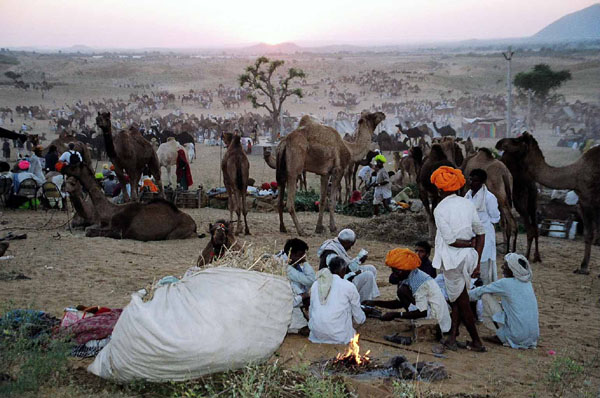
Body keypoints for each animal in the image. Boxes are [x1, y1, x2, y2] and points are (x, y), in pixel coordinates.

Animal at [58, 162, 196, 243]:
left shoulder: (119, 231)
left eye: (73, 166)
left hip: (176, 233)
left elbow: (89, 231)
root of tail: (194, 224)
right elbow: (88, 228)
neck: (111, 211)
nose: (62, 167)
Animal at [496, 133, 600, 274]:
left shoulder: (588, 200)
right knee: (534, 228)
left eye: (516, 140)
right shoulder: (586, 202)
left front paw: (583, 268)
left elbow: (590, 233)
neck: (576, 175)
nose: (499, 143)